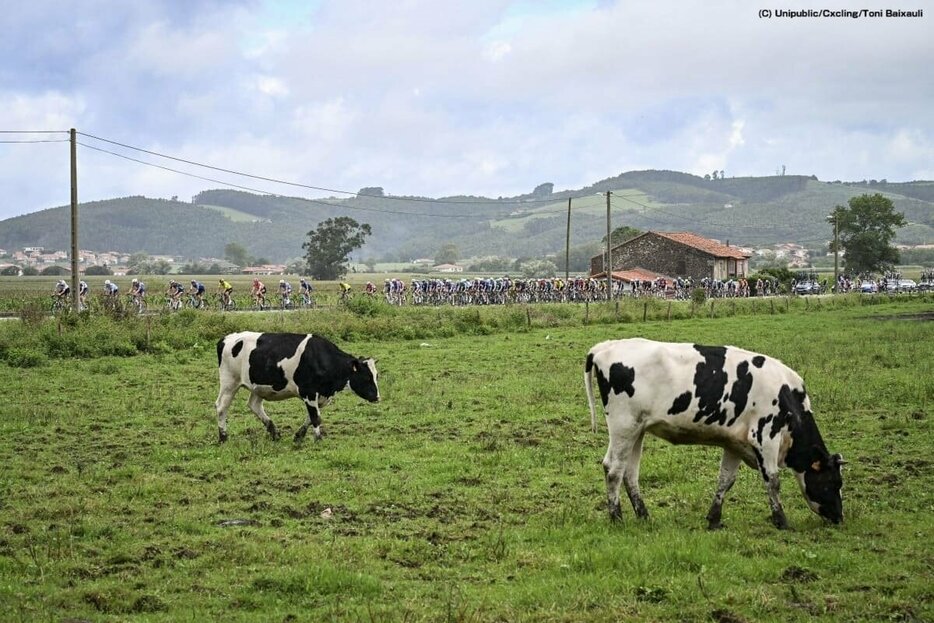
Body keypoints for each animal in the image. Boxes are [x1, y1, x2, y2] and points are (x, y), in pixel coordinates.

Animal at [216, 332, 380, 444]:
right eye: (366, 377)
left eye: (376, 376)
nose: (377, 397)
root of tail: (226, 338)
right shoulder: (308, 392)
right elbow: (315, 417)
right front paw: (318, 438)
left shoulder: (320, 396)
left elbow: (311, 417)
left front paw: (299, 435)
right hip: (229, 381)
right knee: (222, 406)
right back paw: (223, 436)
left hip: (258, 386)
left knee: (254, 405)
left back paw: (274, 432)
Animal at [580, 338, 844, 528]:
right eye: (834, 482)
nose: (840, 518)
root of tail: (605, 346)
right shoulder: (765, 436)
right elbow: (773, 480)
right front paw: (781, 521)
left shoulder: (734, 443)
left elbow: (726, 480)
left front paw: (714, 518)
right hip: (623, 426)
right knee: (613, 469)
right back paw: (616, 518)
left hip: (637, 430)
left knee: (630, 473)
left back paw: (643, 515)